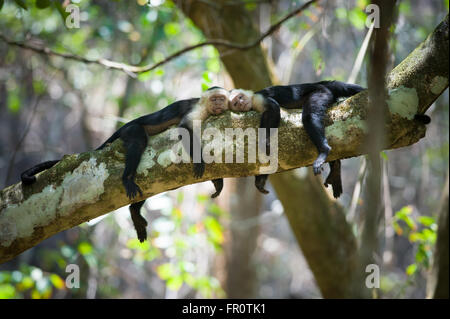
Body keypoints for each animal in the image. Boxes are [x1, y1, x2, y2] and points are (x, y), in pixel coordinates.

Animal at [20, 86, 229, 241]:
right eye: (215, 99)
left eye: (221, 99)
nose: (219, 104)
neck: (206, 108)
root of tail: (124, 127)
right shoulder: (197, 110)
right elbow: (184, 128)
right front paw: (200, 161)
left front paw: (218, 181)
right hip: (131, 130)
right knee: (138, 142)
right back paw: (127, 179)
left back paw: (135, 211)